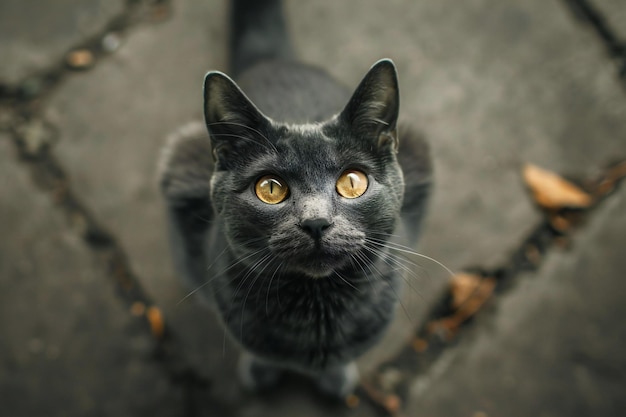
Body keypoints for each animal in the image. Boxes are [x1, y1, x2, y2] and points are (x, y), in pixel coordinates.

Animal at [157, 0, 428, 398]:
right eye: (270, 189)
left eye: (352, 182)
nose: (316, 221)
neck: (316, 306)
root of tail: (275, 60)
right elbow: (258, 348)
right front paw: (260, 371)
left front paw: (335, 376)